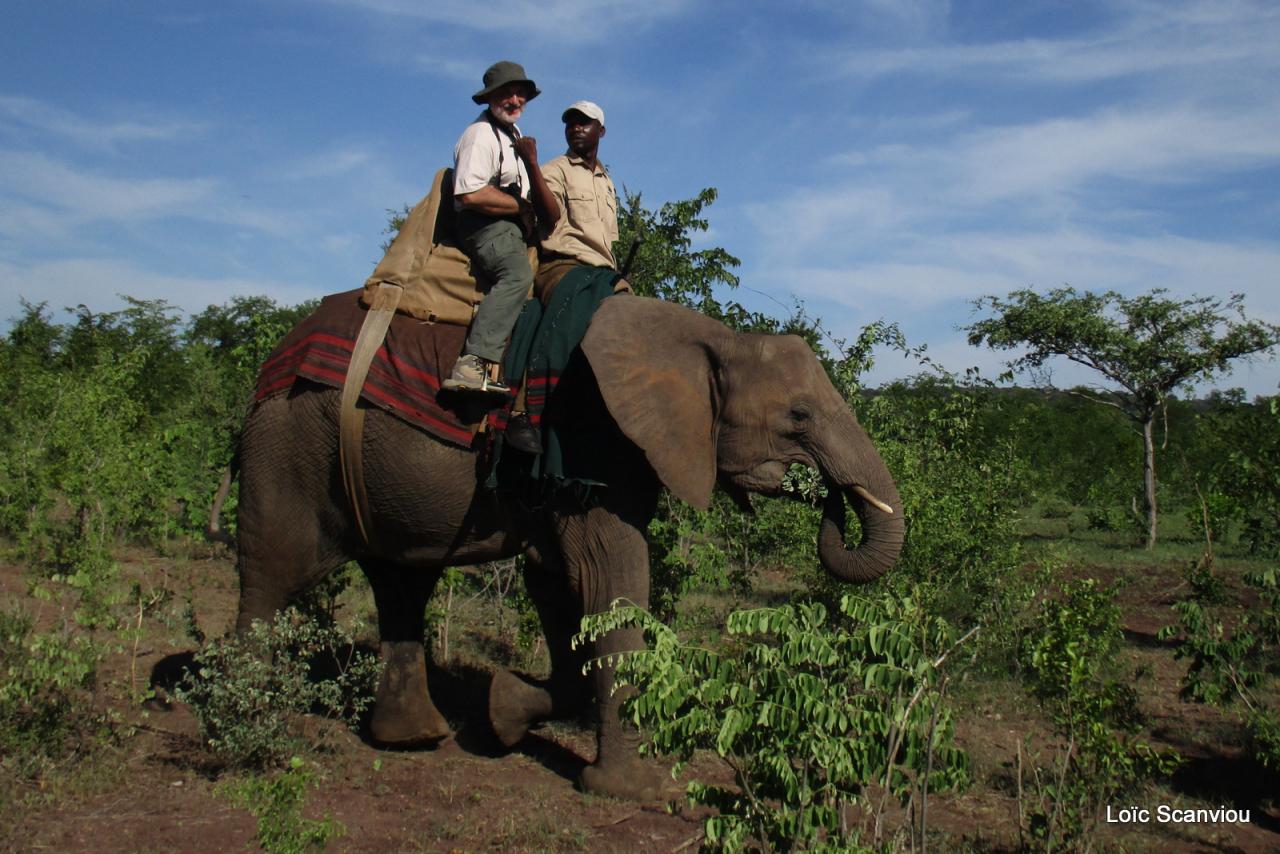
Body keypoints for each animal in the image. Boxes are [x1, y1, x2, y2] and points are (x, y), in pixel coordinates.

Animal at [225, 294, 906, 804]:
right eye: (799, 416)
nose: (829, 498)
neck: (711, 338)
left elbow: (555, 584)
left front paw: (503, 713)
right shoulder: (591, 440)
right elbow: (612, 579)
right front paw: (631, 791)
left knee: (401, 583)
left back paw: (413, 738)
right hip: (289, 439)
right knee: (273, 573)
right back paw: (245, 736)